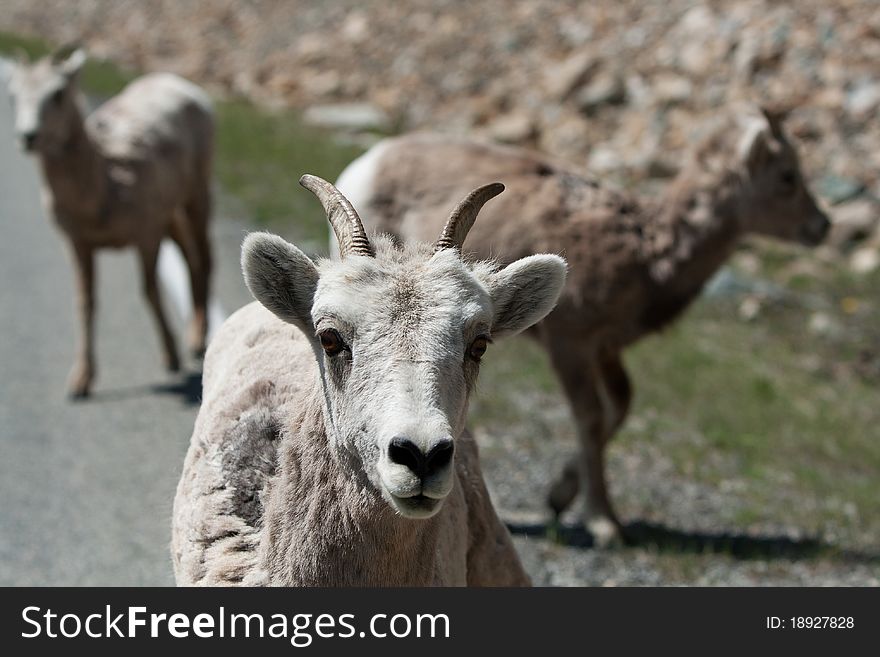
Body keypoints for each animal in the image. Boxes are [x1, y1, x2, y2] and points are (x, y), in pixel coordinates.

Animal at [6, 48, 214, 398]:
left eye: (58, 93)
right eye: (12, 94)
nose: (28, 136)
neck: (102, 185)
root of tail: (179, 84)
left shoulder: (146, 235)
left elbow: (149, 291)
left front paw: (170, 358)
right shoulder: (78, 244)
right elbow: (85, 302)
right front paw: (80, 383)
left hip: (197, 194)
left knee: (205, 257)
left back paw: (198, 342)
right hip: (170, 212)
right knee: (190, 257)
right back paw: (194, 337)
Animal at [336, 106, 832, 544]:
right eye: (788, 176)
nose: (822, 226)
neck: (645, 252)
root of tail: (370, 162)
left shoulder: (607, 348)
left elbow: (619, 409)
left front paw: (560, 498)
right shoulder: (570, 344)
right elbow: (591, 417)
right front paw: (604, 524)